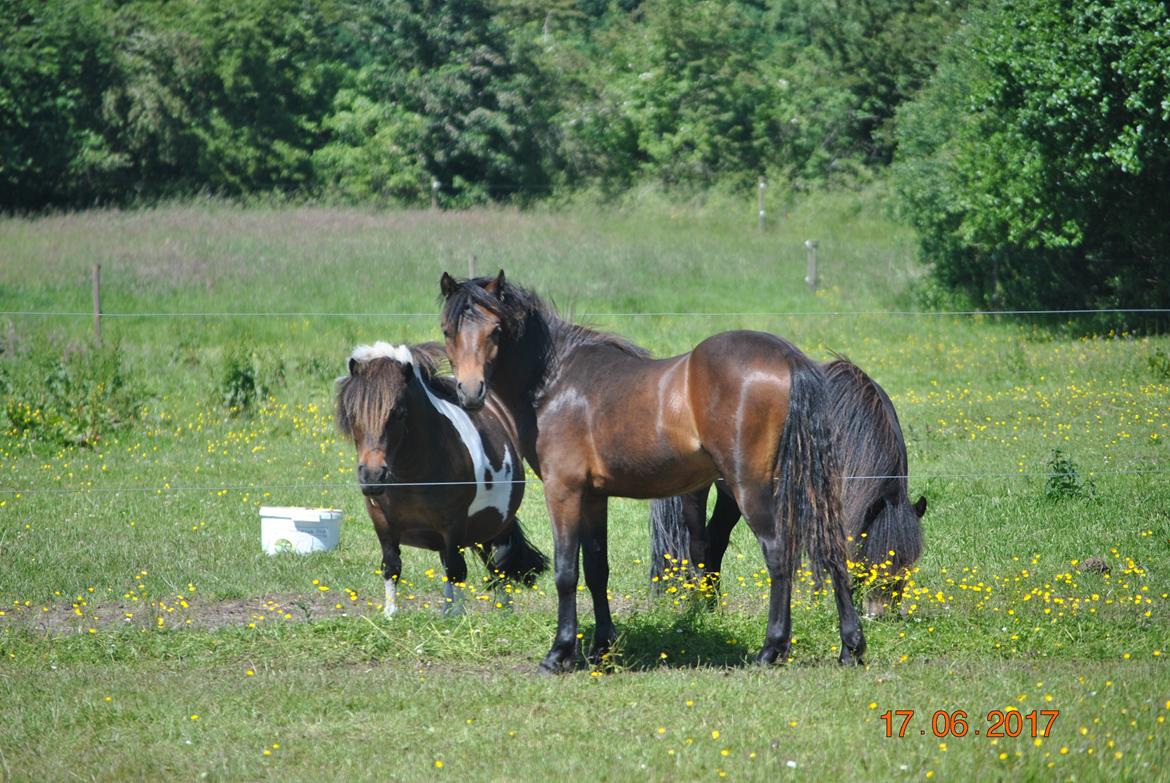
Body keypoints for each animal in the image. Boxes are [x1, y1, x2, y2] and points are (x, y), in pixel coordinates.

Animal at [332, 341, 545, 617]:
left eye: (399, 413)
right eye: (352, 413)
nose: (372, 476)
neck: (413, 476)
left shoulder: (454, 525)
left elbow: (457, 571)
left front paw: (458, 618)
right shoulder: (382, 523)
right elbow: (392, 567)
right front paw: (391, 614)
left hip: (499, 522)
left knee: (500, 563)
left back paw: (503, 609)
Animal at [437, 271, 861, 669]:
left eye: (496, 329)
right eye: (447, 330)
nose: (470, 392)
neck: (554, 382)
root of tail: (788, 357)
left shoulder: (564, 491)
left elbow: (566, 572)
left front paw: (560, 654)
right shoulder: (594, 497)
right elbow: (596, 569)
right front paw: (602, 648)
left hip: (749, 486)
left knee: (778, 553)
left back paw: (771, 649)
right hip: (802, 484)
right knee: (831, 547)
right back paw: (850, 647)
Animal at [650, 353, 921, 617]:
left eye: (909, 563)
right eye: (875, 558)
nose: (881, 614)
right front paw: (819, 604)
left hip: (733, 495)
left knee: (716, 540)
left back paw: (713, 606)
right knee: (696, 545)